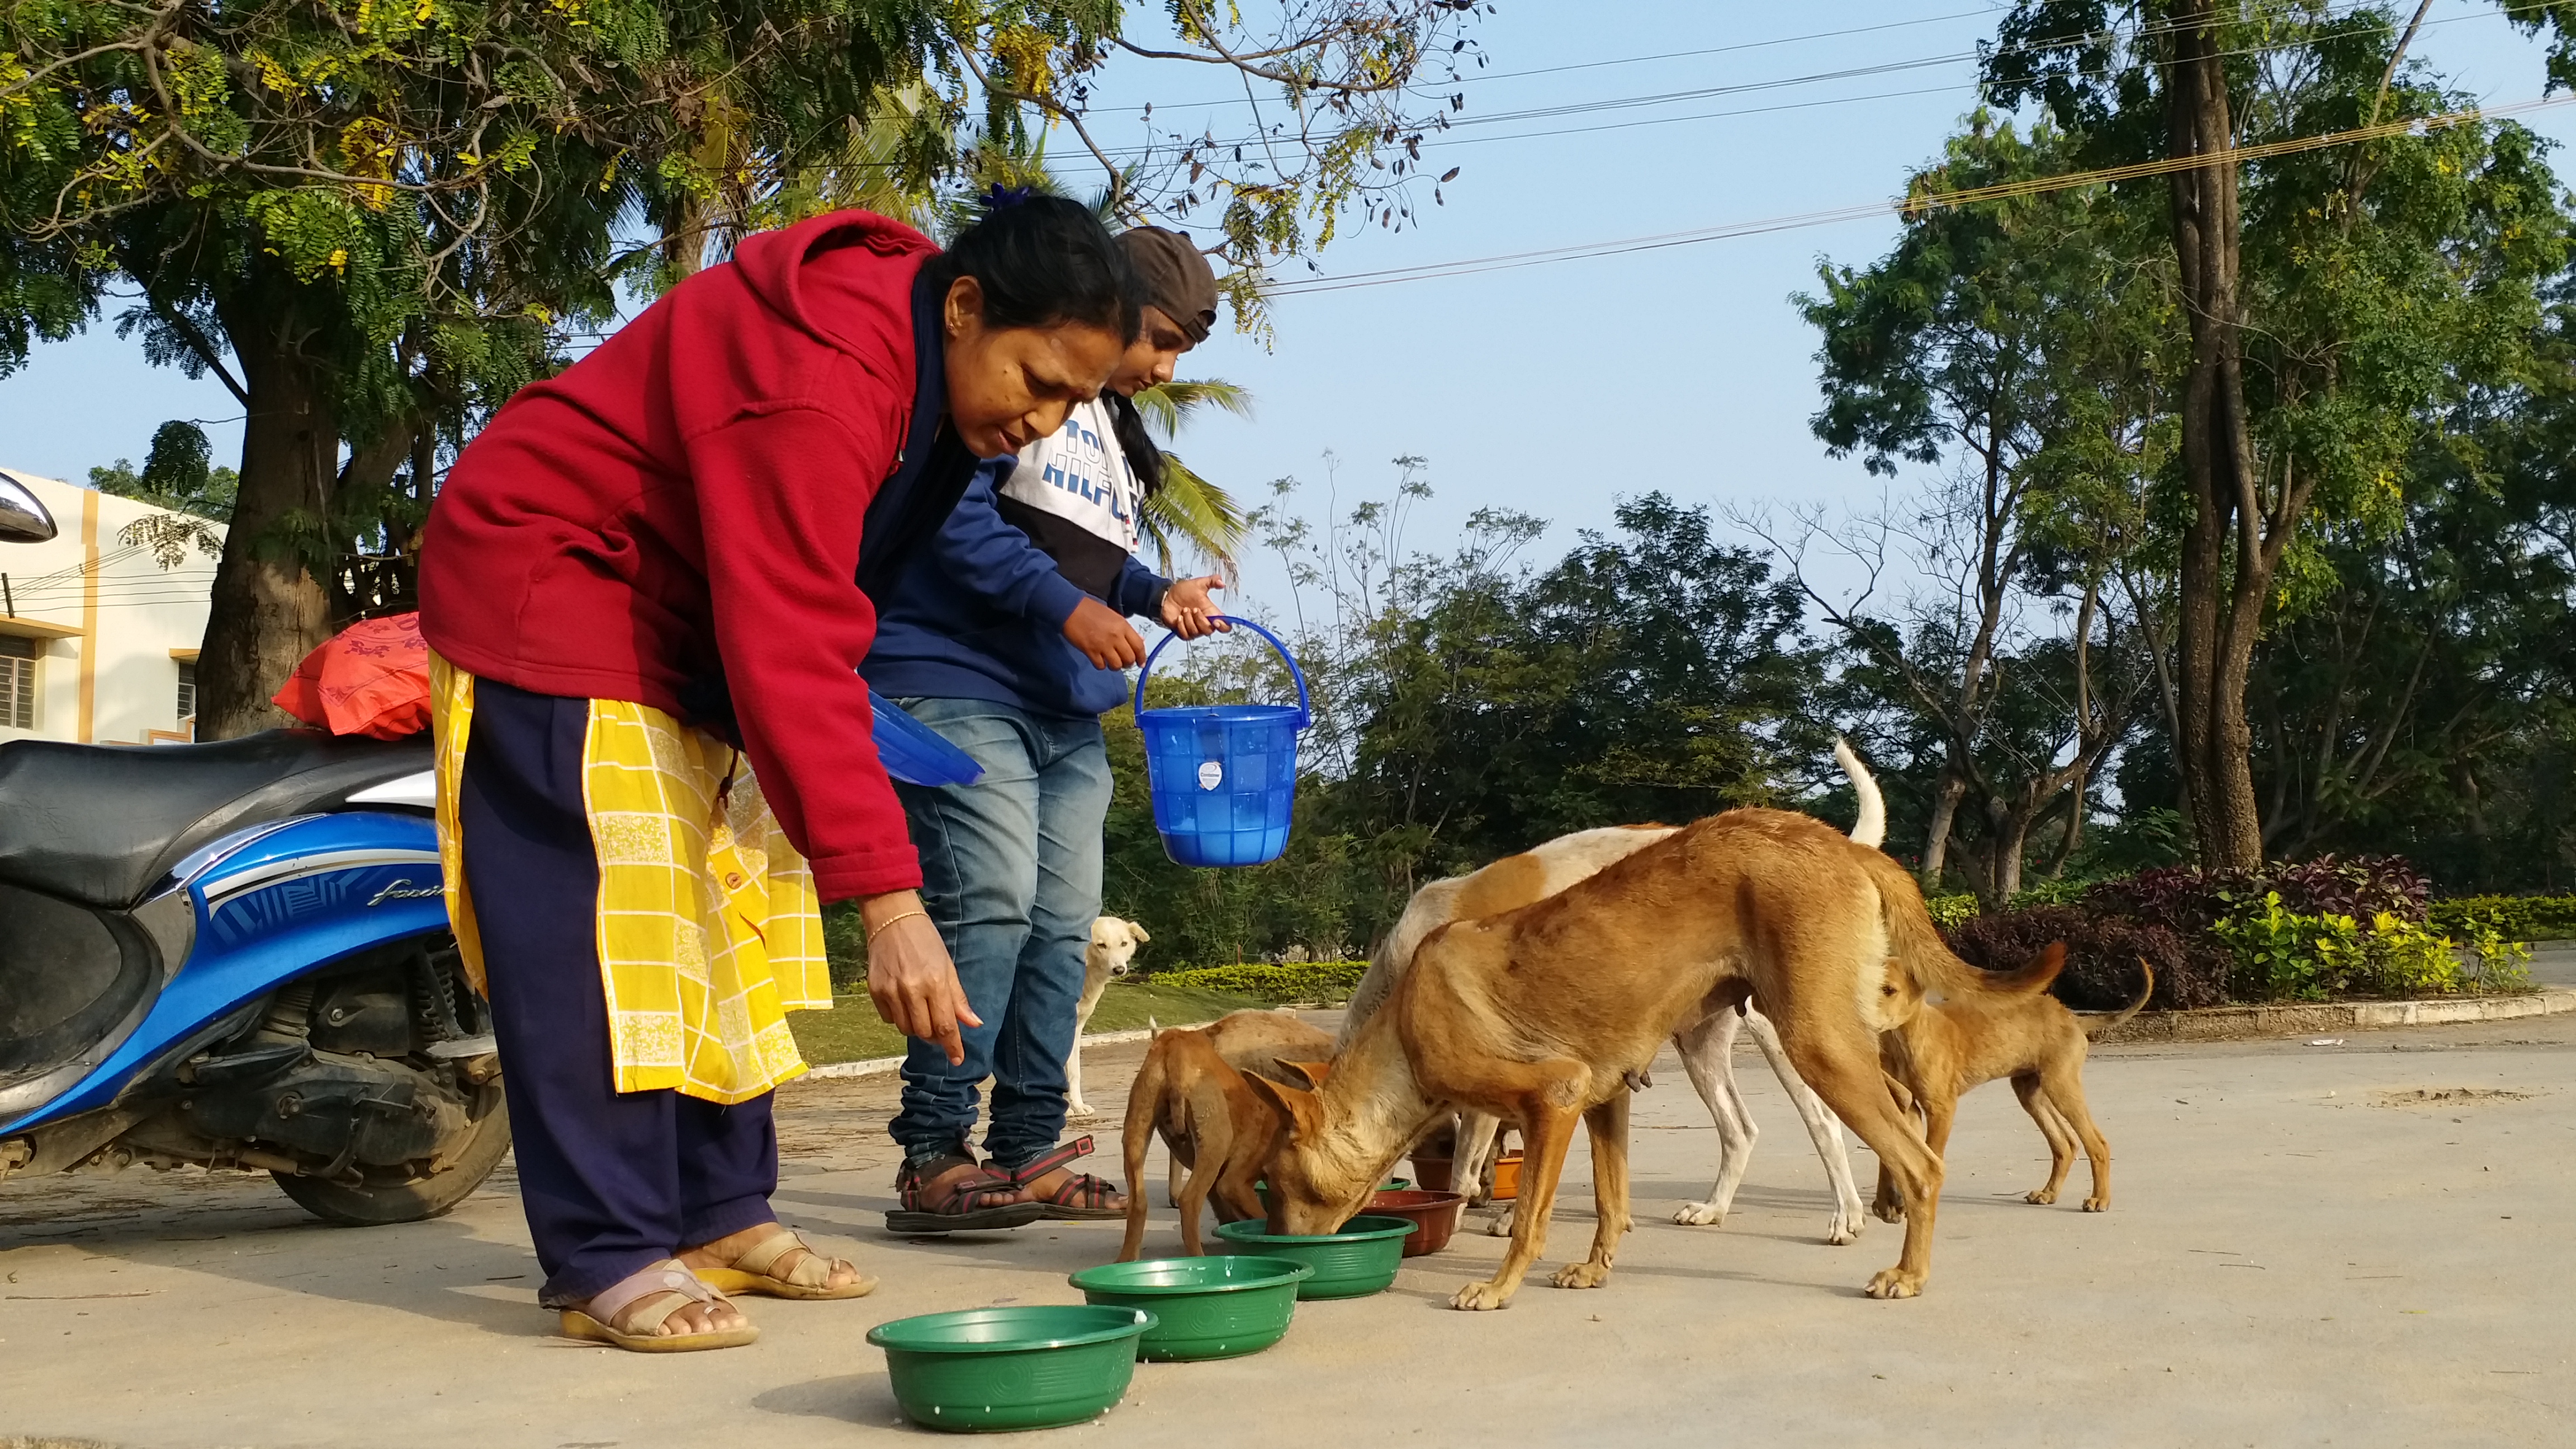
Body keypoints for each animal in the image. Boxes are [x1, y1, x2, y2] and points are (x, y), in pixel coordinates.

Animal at [1061, 912, 1154, 1119]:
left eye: (1124, 943)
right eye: (1101, 945)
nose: (1119, 970)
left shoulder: (1075, 1027)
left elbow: (1074, 1072)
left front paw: (1077, 1106)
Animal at [1117, 1005, 1339, 1253]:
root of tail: (1174, 1048)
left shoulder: (1220, 1184)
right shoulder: (1234, 1183)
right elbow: (1258, 1215)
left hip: (1137, 1132)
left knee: (1139, 1203)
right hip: (1215, 1142)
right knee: (1190, 1201)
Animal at [1247, 804, 2050, 1304]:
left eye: (1278, 1181)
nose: (1282, 1250)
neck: (1403, 1017)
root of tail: (1839, 842)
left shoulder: (1555, 1095)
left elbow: (1527, 1209)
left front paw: (1499, 1285)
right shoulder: (1606, 1096)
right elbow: (1611, 1199)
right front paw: (1593, 1270)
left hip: (1809, 1042)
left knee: (1910, 1157)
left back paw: (1898, 1263)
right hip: (1767, 1038)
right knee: (1876, 1120)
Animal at [1339, 737, 1886, 1237]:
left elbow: (1469, 1162)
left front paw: (1471, 1213)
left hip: (1786, 1030)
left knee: (1824, 1120)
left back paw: (1847, 1214)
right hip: (1700, 1042)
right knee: (1740, 1129)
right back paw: (1714, 1208)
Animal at [1875, 944, 2153, 1211]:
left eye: (1890, 990)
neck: (1906, 1039)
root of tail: (2072, 1017)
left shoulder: (1942, 1108)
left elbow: (1930, 1156)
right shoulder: (1908, 1107)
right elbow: (1895, 1156)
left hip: (2061, 1086)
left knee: (2097, 1143)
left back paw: (2100, 1199)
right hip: (2031, 1092)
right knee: (2065, 1144)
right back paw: (2049, 1193)